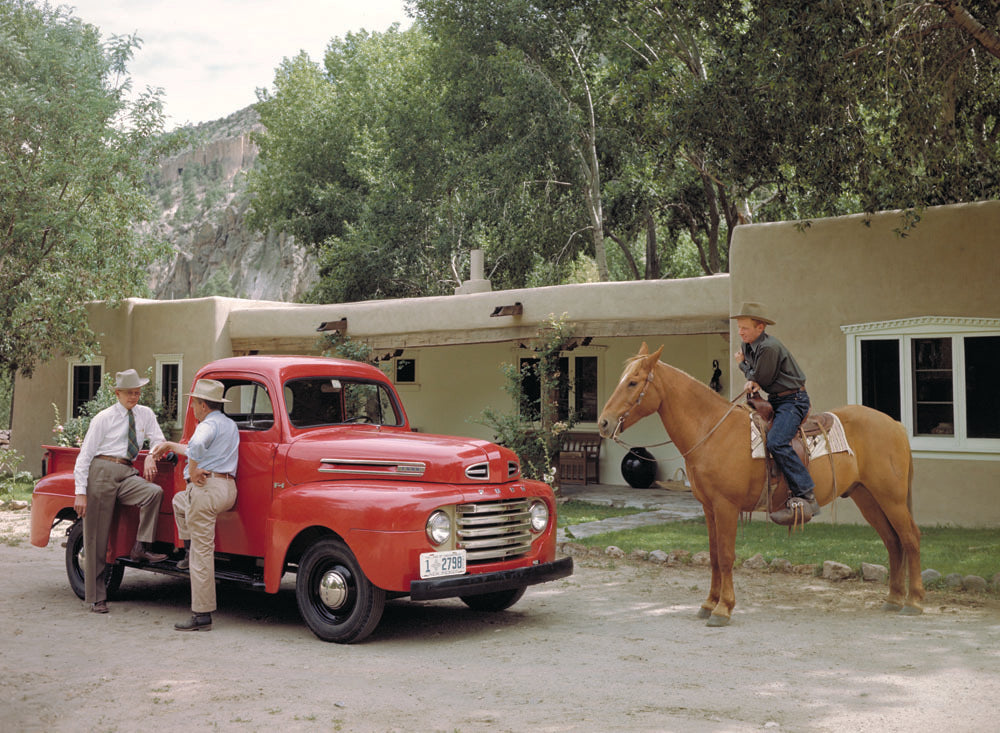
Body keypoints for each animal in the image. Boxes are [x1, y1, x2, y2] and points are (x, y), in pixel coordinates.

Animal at [596, 344, 924, 624]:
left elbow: (726, 556)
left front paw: (723, 608)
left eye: (633, 383)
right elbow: (713, 556)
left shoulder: (726, 507)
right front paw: (708, 603)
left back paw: (914, 601)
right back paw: (894, 599)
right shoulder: (709, 508)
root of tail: (895, 424)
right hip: (866, 497)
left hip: (891, 497)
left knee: (910, 538)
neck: (712, 431)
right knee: (893, 541)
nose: (603, 422)